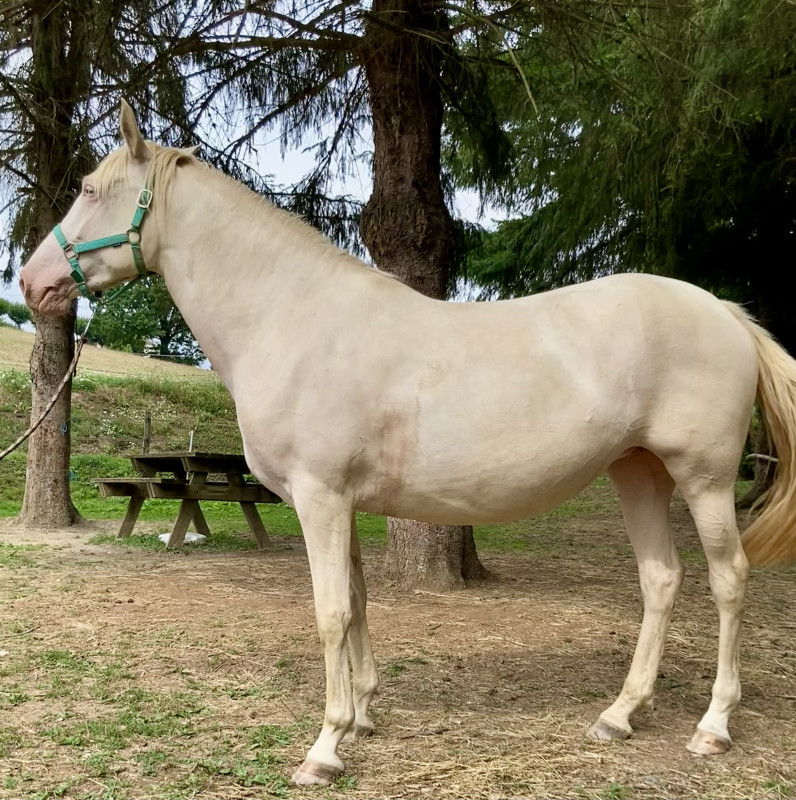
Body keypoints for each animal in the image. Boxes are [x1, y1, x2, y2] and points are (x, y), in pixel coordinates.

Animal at [19, 101, 796, 786]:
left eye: (89, 189)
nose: (31, 281)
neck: (293, 318)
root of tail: (723, 311)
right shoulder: (338, 502)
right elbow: (359, 601)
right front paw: (363, 714)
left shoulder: (320, 498)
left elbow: (331, 613)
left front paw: (325, 747)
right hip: (637, 473)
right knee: (661, 580)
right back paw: (620, 714)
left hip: (703, 479)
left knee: (728, 580)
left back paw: (712, 727)